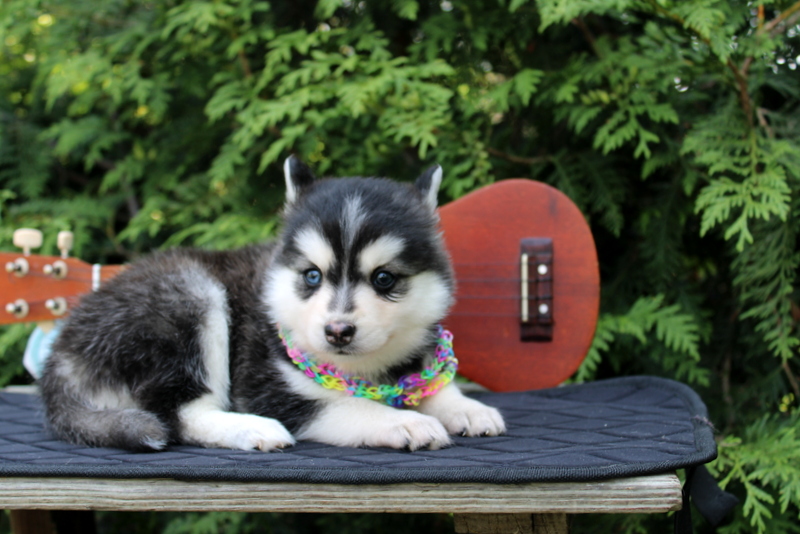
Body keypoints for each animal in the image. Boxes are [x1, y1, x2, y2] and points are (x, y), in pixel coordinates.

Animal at [39, 157, 506, 454]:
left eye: (384, 278)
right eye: (312, 276)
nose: (337, 331)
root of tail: (59, 355)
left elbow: (431, 384)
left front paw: (465, 408)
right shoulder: (263, 386)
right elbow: (343, 403)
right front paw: (401, 421)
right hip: (190, 297)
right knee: (179, 413)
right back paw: (249, 428)